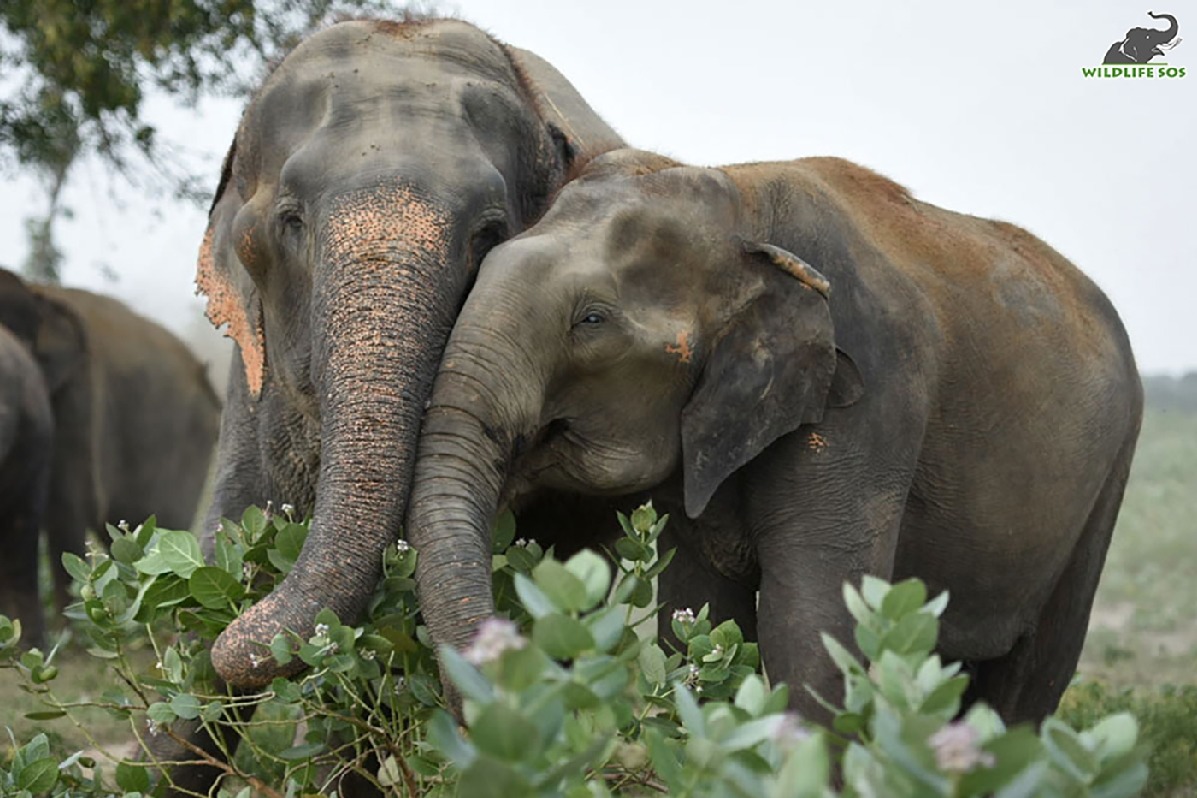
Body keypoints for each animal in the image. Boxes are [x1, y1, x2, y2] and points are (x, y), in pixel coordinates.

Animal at [402, 146, 1139, 727]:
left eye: (591, 319)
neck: (741, 203)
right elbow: (698, 613)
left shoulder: (867, 401)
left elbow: (812, 627)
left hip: (1110, 473)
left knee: (1033, 676)